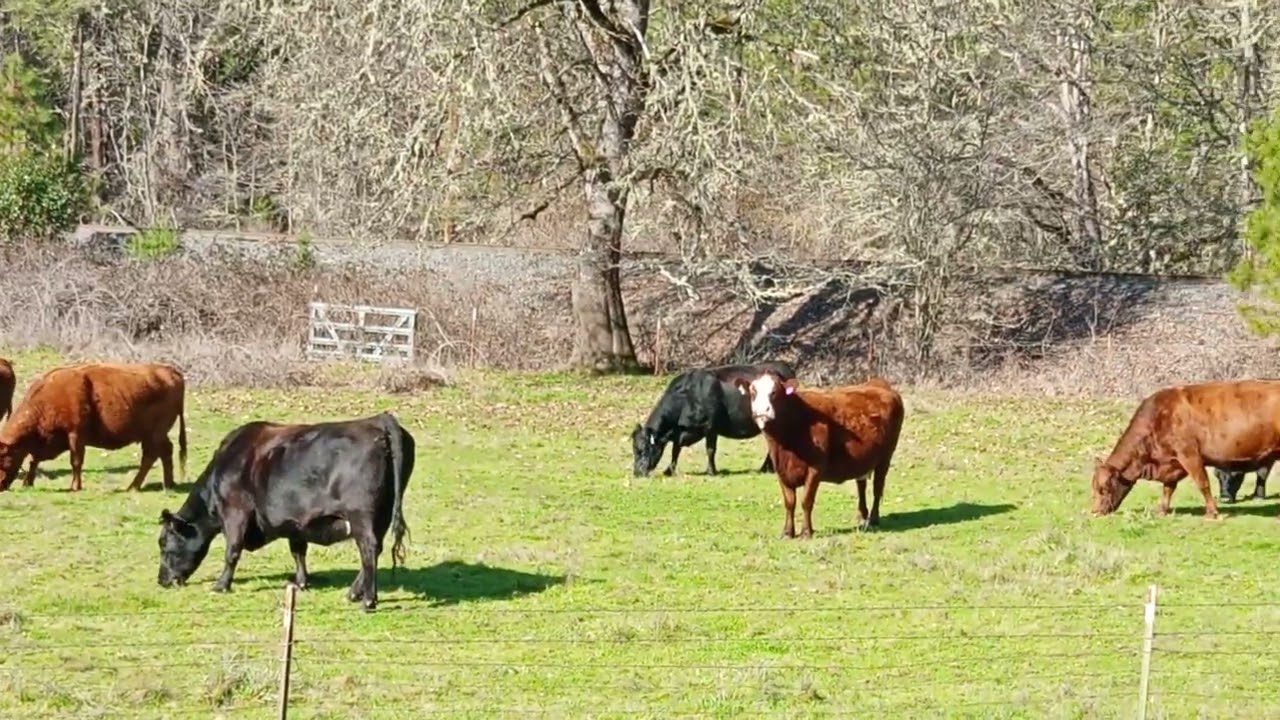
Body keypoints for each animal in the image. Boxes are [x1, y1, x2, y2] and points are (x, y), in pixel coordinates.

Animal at [0, 362, 188, 492]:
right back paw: (167, 484)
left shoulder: (75, 435)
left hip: (154, 434)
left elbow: (76, 461)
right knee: (164, 452)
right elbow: (34, 459)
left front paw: (75, 486)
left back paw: (135, 486)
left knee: (151, 456)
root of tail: (172, 373)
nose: (1, 486)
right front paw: (27, 483)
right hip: (155, 435)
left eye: (3, 458)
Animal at [156, 412, 415, 613]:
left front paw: (221, 585)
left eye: (164, 543)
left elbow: (232, 550)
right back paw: (353, 593)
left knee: (368, 550)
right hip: (381, 515)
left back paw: (368, 600)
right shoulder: (295, 522)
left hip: (361, 515)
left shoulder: (235, 511)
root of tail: (379, 419)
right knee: (373, 550)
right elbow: (298, 551)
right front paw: (301, 583)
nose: (161, 580)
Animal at [631, 361, 798, 478]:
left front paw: (711, 471)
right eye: (634, 448)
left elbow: (710, 449)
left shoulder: (710, 427)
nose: (637, 472)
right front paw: (669, 470)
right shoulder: (681, 432)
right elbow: (675, 450)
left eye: (642, 449)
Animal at [734, 371, 905, 539]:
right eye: (753, 392)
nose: (762, 411)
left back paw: (874, 519)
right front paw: (787, 532)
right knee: (861, 485)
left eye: (774, 392)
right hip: (863, 459)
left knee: (878, 487)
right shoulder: (781, 470)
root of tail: (878, 384)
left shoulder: (815, 468)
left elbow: (806, 500)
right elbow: (789, 503)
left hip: (885, 457)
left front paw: (806, 532)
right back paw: (862, 516)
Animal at [1090, 380, 1280, 519]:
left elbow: (1203, 484)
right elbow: (1168, 488)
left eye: (1103, 488)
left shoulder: (1189, 455)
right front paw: (1162, 510)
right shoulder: (1172, 461)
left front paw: (1212, 513)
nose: (1095, 512)